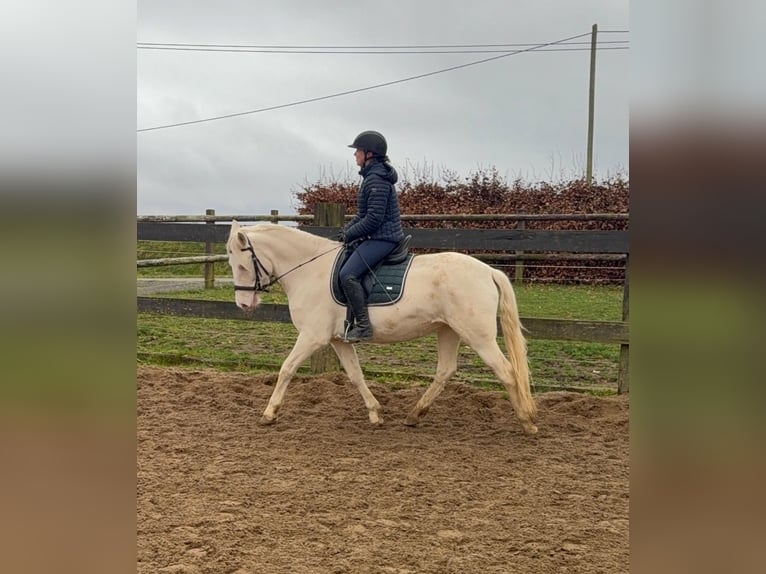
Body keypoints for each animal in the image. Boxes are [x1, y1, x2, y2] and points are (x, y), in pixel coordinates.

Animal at [226, 221, 538, 434]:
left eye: (241, 266)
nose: (243, 304)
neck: (310, 271)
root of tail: (488, 270)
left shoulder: (313, 337)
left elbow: (287, 368)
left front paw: (269, 413)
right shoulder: (339, 340)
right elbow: (355, 376)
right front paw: (375, 414)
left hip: (479, 336)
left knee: (507, 372)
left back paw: (527, 422)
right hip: (448, 330)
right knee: (446, 371)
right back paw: (414, 415)